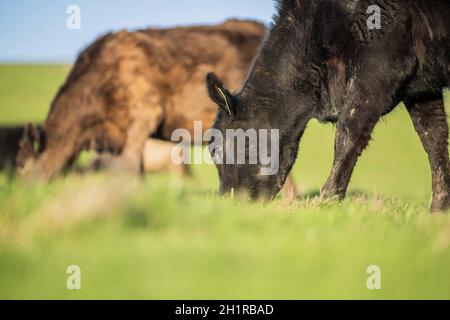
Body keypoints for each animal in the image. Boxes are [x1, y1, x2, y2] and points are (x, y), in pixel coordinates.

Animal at [208, 0, 450, 212]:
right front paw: (438, 208)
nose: (228, 203)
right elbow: (434, 139)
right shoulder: (422, 89)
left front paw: (327, 199)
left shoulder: (378, 69)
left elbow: (348, 135)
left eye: (217, 151)